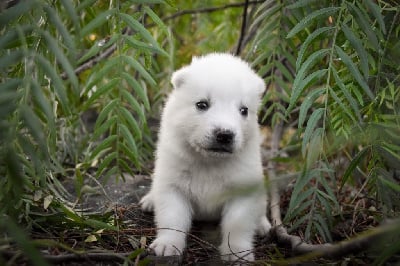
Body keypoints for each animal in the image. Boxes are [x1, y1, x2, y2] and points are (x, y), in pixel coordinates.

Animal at [141, 52, 272, 262]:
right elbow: (172, 217)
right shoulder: (173, 183)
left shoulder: (243, 187)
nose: (225, 135)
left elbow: (238, 223)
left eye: (244, 110)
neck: (209, 161)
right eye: (202, 104)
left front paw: (237, 252)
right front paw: (167, 245)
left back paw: (262, 225)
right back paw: (149, 200)